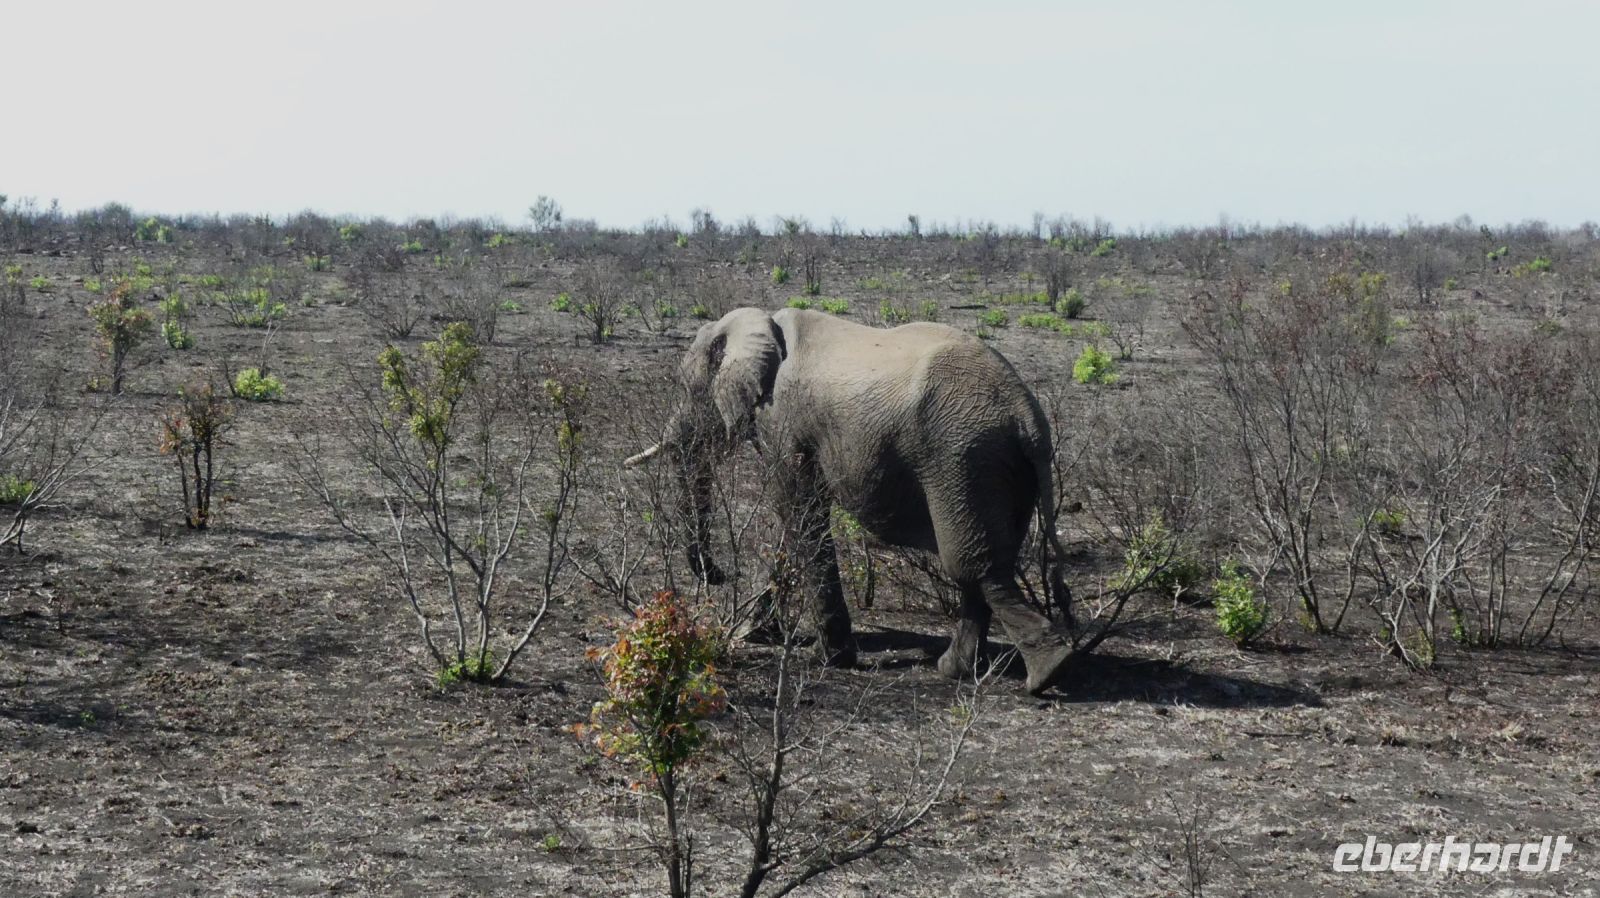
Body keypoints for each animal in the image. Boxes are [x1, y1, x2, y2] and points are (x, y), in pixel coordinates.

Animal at [624, 307, 1075, 694]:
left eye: (688, 390)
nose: (718, 575)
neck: (760, 323)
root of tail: (1029, 419)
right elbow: (794, 523)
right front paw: (757, 635)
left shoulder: (784, 422)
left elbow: (799, 515)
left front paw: (825, 659)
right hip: (1002, 469)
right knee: (988, 567)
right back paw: (957, 670)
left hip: (963, 459)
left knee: (974, 568)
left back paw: (1047, 673)